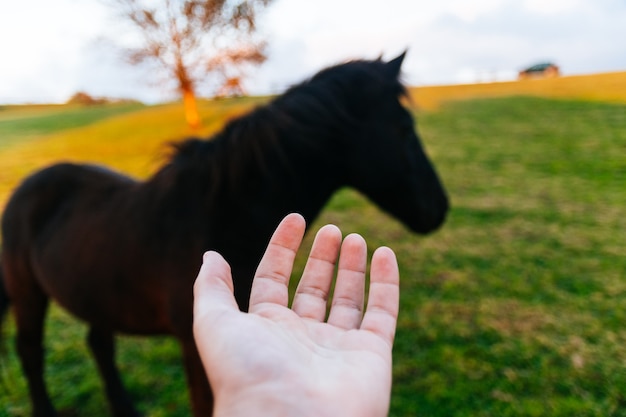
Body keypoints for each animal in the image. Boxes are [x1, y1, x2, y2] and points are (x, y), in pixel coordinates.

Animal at [1, 52, 448, 416]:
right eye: (404, 127)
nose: (440, 208)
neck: (221, 215)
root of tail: (25, 187)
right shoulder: (196, 342)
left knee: (99, 344)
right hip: (28, 293)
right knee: (30, 352)